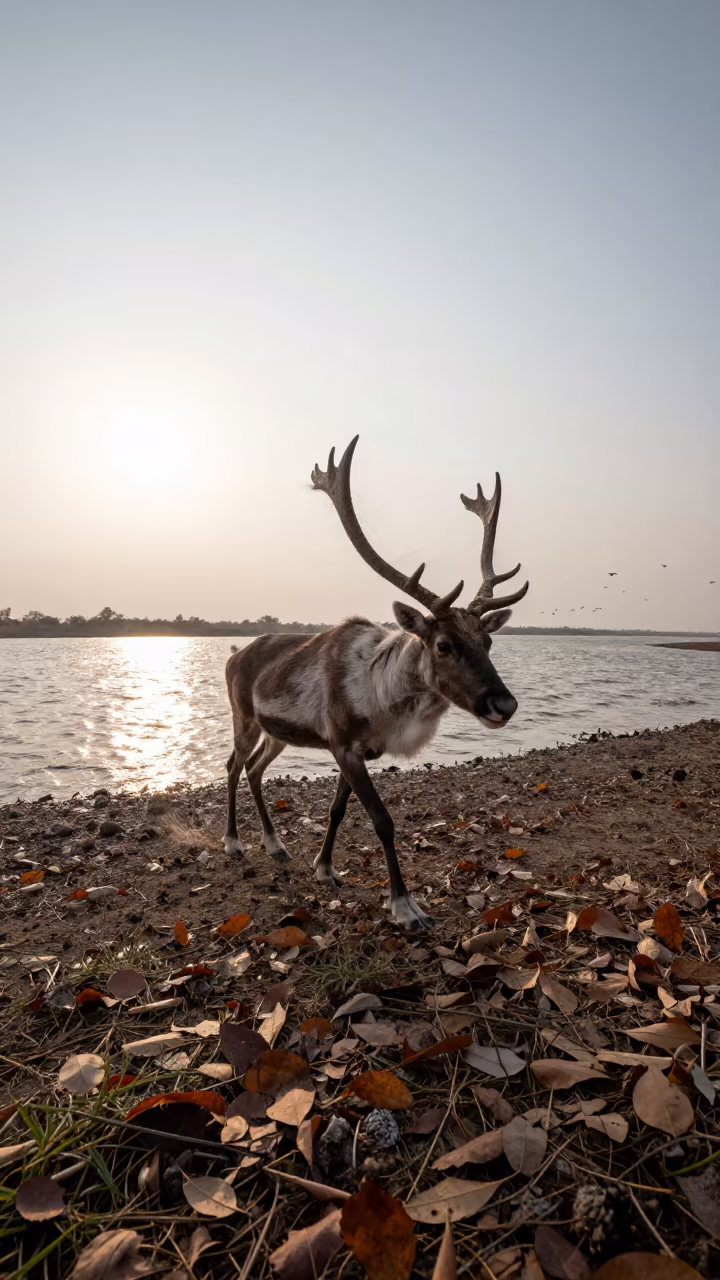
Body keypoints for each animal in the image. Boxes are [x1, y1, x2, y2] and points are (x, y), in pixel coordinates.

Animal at [223, 436, 528, 931]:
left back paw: (275, 844)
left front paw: (324, 868)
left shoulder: (359, 751)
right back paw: (233, 842)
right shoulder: (343, 745)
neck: (386, 700)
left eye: (487, 641)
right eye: (443, 644)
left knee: (253, 769)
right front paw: (405, 907)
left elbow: (337, 809)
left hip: (277, 733)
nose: (504, 704)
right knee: (233, 765)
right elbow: (382, 820)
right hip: (244, 717)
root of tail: (234, 654)